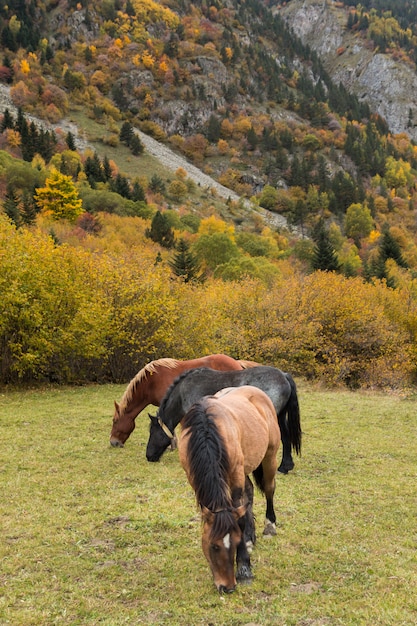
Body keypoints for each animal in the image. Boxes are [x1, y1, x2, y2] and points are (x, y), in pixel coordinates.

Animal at [145, 364, 300, 470]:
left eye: (153, 432)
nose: (149, 456)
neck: (183, 392)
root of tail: (283, 375)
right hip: (279, 417)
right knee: (286, 438)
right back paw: (285, 466)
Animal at [176, 382, 280, 592]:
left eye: (234, 541)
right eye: (213, 546)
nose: (228, 586)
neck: (207, 430)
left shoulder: (235, 478)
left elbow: (240, 516)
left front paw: (244, 568)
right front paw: (246, 543)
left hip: (269, 457)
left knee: (269, 489)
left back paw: (270, 525)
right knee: (250, 493)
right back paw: (251, 538)